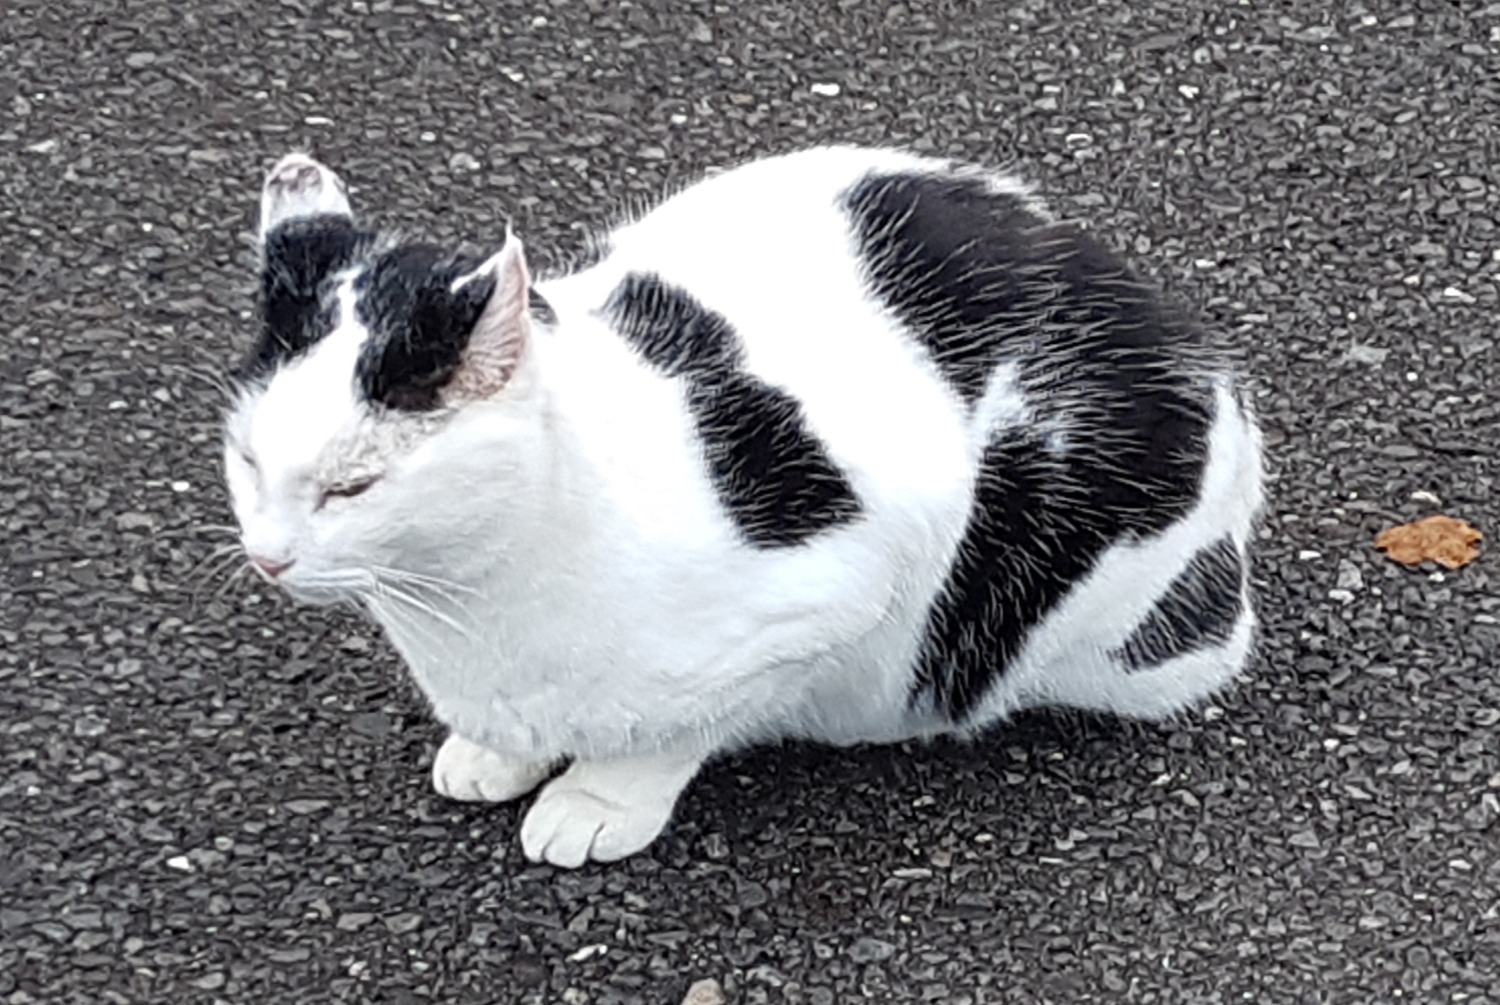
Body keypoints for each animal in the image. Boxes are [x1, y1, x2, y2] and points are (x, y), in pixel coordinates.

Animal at [225, 145, 1266, 870]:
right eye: (246, 460)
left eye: (352, 486)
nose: (269, 557)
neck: (460, 606)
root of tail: (1215, 375)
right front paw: (491, 751)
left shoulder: (827, 600)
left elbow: (668, 735)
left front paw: (596, 802)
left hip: (1124, 638)